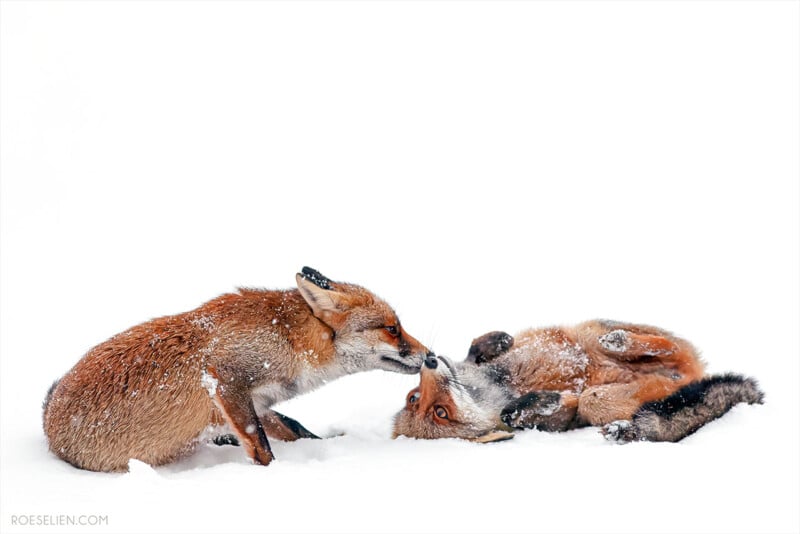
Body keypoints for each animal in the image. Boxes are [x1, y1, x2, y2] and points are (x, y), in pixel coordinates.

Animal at [43, 267, 431, 472]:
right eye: (392, 328)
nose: (431, 356)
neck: (288, 340)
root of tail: (47, 420)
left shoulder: (256, 402)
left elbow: (296, 430)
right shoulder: (226, 380)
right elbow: (262, 448)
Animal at [393, 320, 763, 443]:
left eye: (413, 396)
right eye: (440, 413)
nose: (428, 361)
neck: (494, 389)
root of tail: (694, 373)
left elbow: (476, 350)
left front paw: (496, 341)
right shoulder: (559, 421)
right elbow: (526, 414)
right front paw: (542, 403)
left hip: (592, 331)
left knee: (664, 345)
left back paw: (622, 341)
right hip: (610, 402)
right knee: (596, 400)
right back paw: (624, 429)